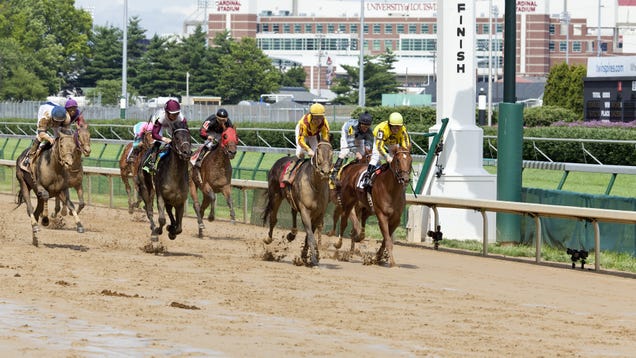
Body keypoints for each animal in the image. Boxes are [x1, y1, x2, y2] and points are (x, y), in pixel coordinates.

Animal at [137, 121, 191, 253]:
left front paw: (172, 231)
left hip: (171, 200)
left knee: (169, 212)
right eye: (177, 138)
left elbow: (179, 227)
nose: (187, 153)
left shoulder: (180, 201)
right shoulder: (160, 195)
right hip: (146, 188)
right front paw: (158, 231)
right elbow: (162, 219)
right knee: (149, 211)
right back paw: (154, 230)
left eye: (189, 137)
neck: (175, 176)